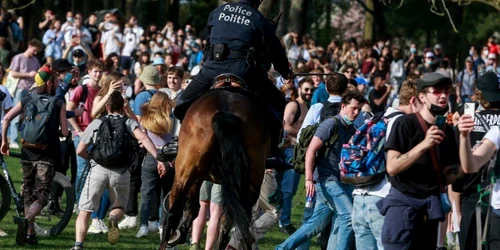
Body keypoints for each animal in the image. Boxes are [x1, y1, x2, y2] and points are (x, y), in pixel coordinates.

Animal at [159, 87, 270, 249]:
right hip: (248, 186)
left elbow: (192, 206)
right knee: (231, 221)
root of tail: (225, 113)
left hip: (185, 175)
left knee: (174, 214)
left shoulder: (195, 176)